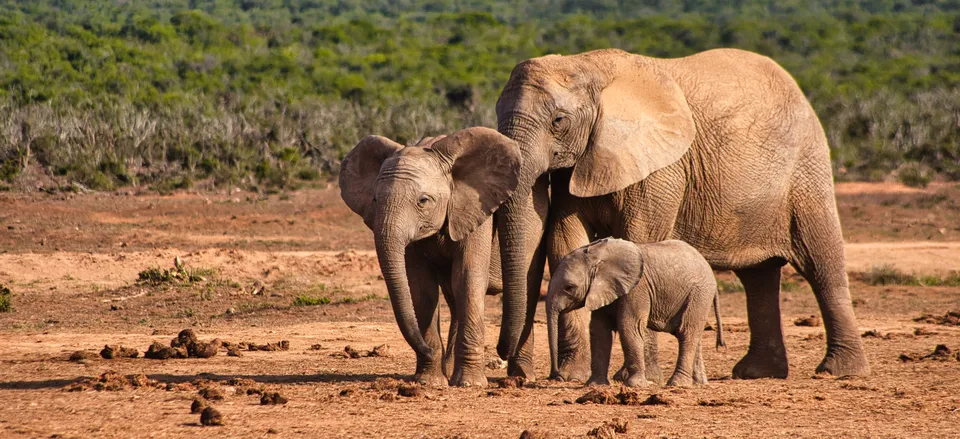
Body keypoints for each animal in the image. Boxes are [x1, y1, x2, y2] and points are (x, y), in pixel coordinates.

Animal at [340, 127, 548, 388]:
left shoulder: (476, 211)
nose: (426, 350)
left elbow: (467, 279)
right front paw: (429, 381)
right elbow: (422, 288)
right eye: (375, 200)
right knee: (453, 298)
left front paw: (469, 384)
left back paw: (521, 376)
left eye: (423, 201)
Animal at [544, 239, 724, 386]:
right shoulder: (604, 288)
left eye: (569, 288)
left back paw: (678, 384)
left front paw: (636, 385)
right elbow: (599, 329)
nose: (556, 376)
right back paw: (699, 383)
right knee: (694, 335)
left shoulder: (637, 288)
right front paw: (595, 385)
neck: (598, 255)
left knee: (686, 331)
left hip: (699, 293)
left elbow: (629, 326)